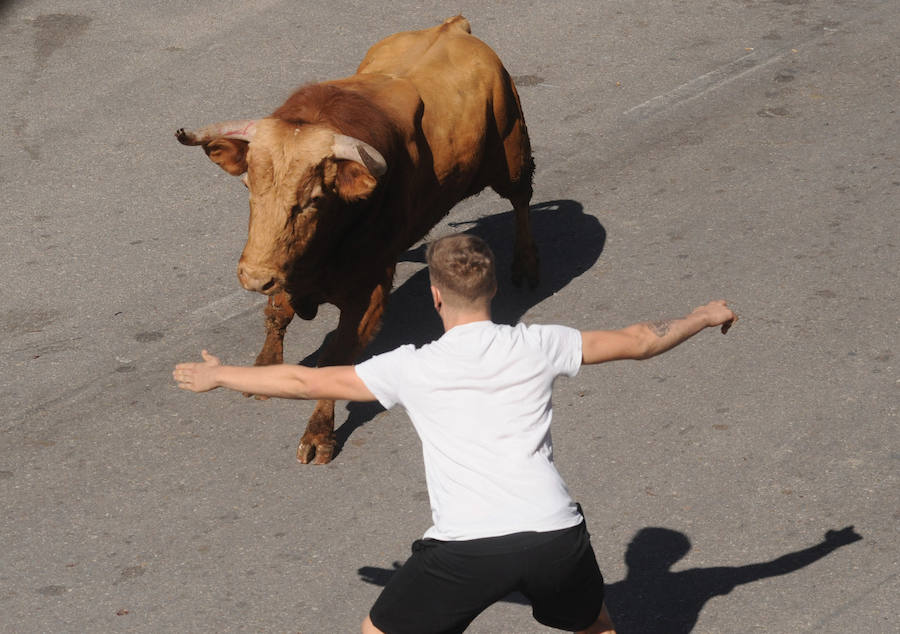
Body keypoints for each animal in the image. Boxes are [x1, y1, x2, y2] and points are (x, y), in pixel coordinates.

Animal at [178, 13, 540, 460]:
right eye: (248, 186)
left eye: (314, 199)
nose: (254, 277)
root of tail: (453, 26)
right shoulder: (287, 268)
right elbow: (277, 313)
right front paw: (263, 371)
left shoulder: (368, 291)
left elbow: (335, 360)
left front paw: (319, 434)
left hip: (511, 147)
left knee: (521, 199)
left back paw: (526, 264)